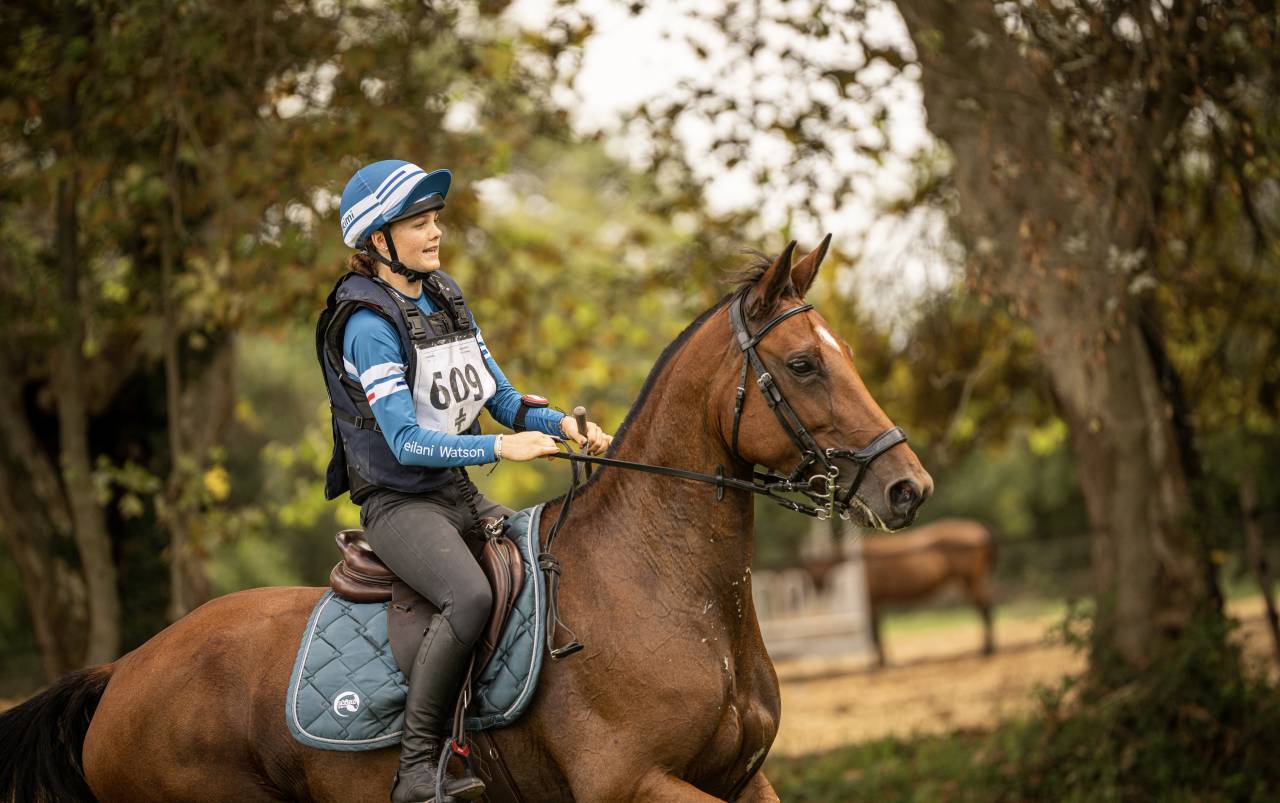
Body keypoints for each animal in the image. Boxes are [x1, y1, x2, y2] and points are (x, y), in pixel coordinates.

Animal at [0, 238, 931, 802]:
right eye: (804, 365)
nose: (907, 488)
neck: (663, 587)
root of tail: (122, 672)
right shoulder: (635, 782)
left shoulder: (744, 778)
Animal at [861, 518, 997, 667]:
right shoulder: (875, 602)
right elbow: (876, 630)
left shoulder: (872, 600)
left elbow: (875, 631)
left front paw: (880, 662)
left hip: (970, 579)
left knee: (984, 608)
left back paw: (987, 649)